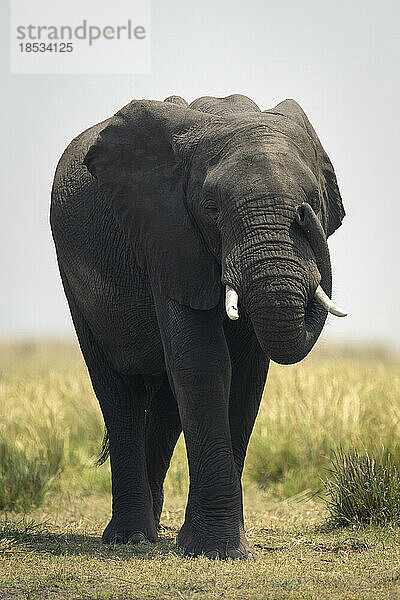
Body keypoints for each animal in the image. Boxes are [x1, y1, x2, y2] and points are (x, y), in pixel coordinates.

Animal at [50, 92, 346, 556]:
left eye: (314, 200)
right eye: (212, 210)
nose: (302, 213)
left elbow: (244, 376)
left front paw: (208, 546)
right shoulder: (167, 236)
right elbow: (203, 364)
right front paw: (218, 550)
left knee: (167, 402)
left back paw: (151, 532)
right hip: (76, 283)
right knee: (117, 394)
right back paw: (130, 537)